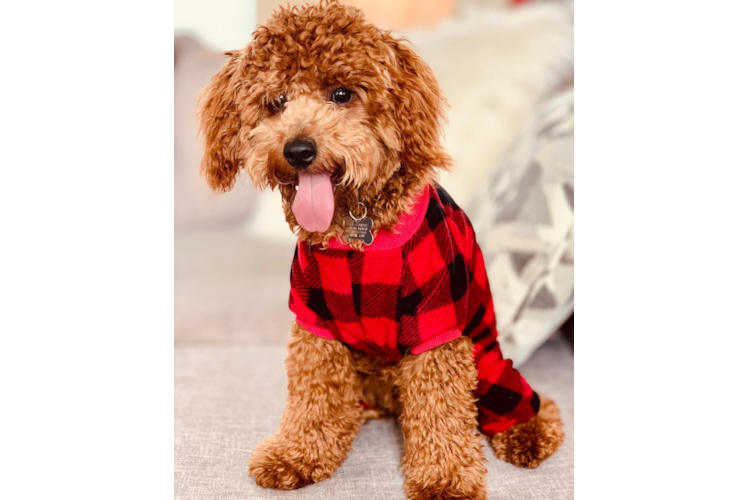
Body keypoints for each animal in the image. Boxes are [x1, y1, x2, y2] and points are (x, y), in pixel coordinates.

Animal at [199, 1, 560, 498]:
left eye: (342, 94)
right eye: (276, 102)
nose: (298, 150)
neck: (358, 229)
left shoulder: (436, 327)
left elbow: (440, 409)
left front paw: (444, 478)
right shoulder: (315, 323)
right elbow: (312, 396)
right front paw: (298, 453)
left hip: (486, 361)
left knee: (520, 401)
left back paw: (529, 432)